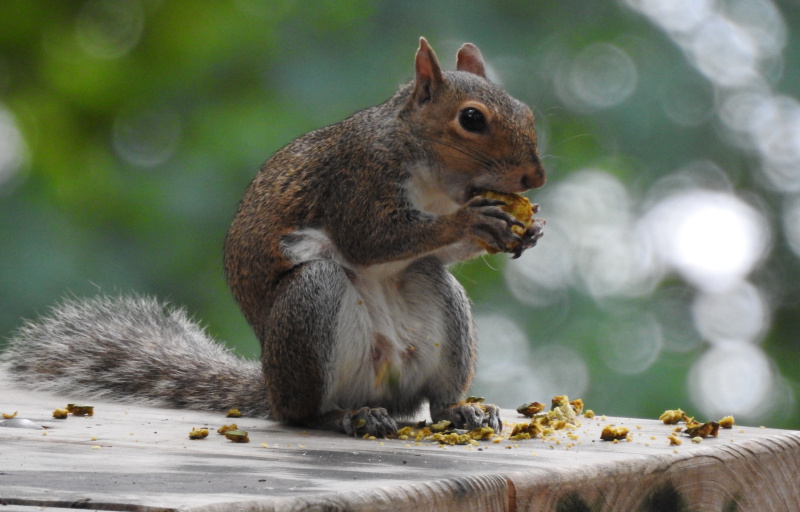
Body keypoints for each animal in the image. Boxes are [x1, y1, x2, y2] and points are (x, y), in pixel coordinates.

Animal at [1, 38, 545, 437]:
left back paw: (460, 410)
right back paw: (347, 416)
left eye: (527, 111)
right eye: (471, 118)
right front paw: (472, 222)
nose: (534, 178)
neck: (437, 179)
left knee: (435, 385)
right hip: (311, 307)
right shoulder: (357, 180)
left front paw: (528, 228)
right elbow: (371, 239)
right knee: (305, 413)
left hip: (436, 303)